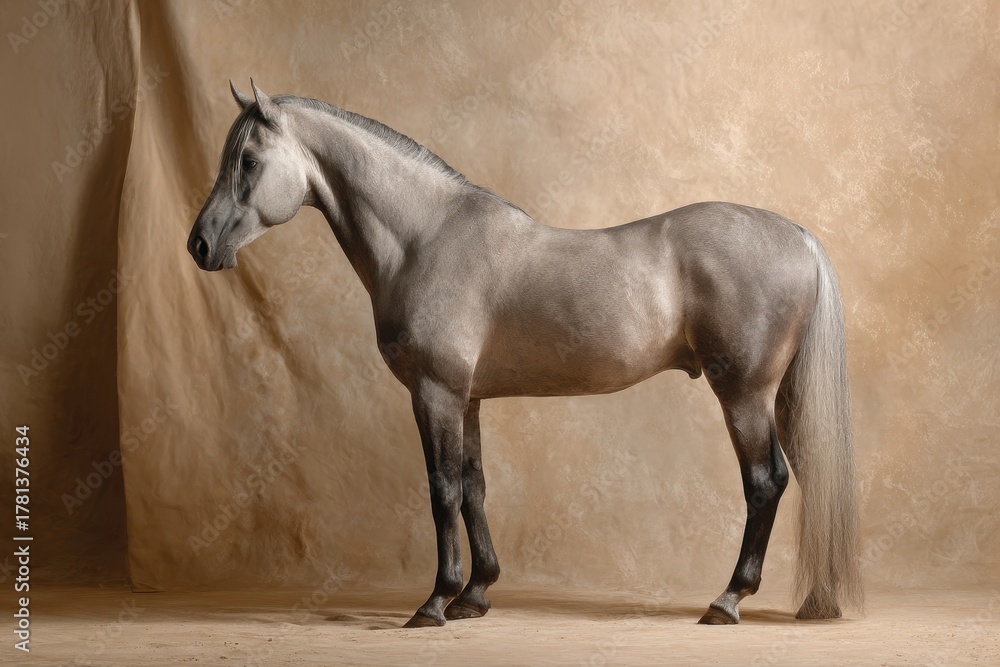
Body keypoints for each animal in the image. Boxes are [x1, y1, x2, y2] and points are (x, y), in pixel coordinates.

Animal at [187, 80, 863, 628]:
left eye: (248, 160)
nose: (200, 244)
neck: (425, 239)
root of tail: (797, 234)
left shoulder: (434, 392)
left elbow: (441, 490)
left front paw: (434, 603)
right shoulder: (467, 398)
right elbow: (474, 487)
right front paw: (475, 595)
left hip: (744, 394)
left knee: (765, 482)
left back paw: (726, 601)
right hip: (780, 396)